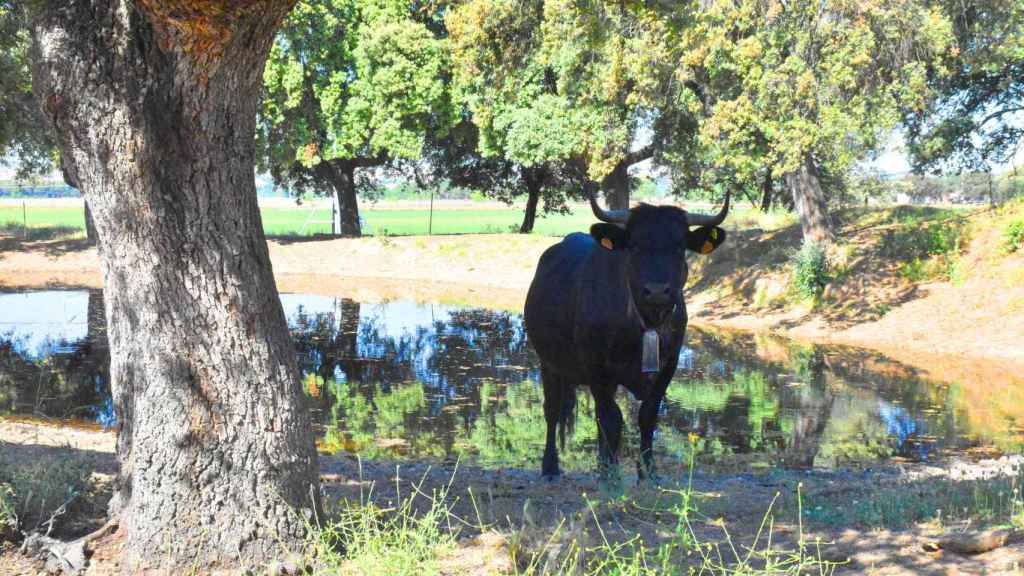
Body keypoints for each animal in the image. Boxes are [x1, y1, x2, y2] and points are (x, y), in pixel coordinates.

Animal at [524, 193, 733, 479]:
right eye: (634, 246)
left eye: (679, 247)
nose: (657, 291)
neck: (646, 324)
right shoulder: (596, 368)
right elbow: (612, 419)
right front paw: (611, 475)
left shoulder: (669, 365)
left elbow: (647, 415)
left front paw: (647, 471)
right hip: (548, 362)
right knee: (553, 410)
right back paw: (550, 466)